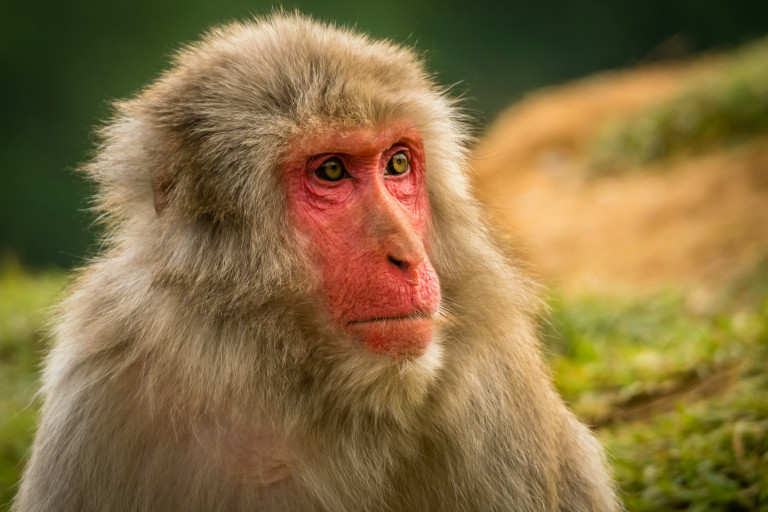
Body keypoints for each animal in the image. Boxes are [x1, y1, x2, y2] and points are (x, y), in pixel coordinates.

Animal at [13, 14, 620, 512]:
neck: (289, 380)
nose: (407, 254)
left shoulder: (496, 384)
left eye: (397, 163)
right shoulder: (99, 383)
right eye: (330, 171)